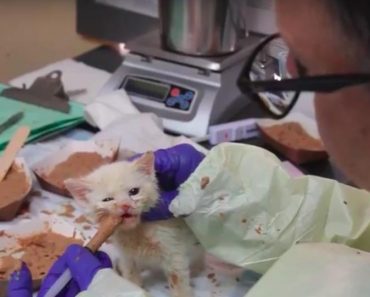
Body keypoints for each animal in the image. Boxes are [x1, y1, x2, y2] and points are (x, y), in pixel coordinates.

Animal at [65, 153, 201, 296]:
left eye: (134, 191)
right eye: (107, 199)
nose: (125, 205)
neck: (136, 231)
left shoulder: (173, 249)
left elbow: (178, 279)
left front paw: (182, 292)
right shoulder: (127, 256)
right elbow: (130, 277)